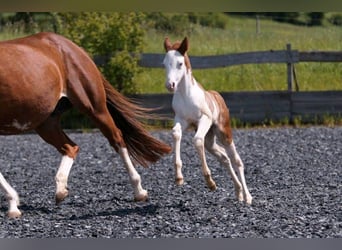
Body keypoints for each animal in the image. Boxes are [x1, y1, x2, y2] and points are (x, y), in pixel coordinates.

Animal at [0, 32, 171, 218]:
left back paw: (139, 192)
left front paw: (13, 206)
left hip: (94, 107)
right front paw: (13, 205)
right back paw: (61, 191)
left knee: (117, 138)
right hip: (45, 122)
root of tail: (72, 46)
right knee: (71, 147)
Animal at [164, 37, 252, 205]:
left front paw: (210, 182)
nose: (170, 85)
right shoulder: (181, 120)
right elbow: (176, 133)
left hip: (223, 133)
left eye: (180, 63)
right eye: (164, 63)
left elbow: (197, 140)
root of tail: (217, 95)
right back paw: (238, 192)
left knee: (236, 160)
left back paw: (247, 197)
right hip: (210, 140)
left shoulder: (204, 120)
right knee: (224, 158)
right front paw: (178, 177)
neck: (186, 95)